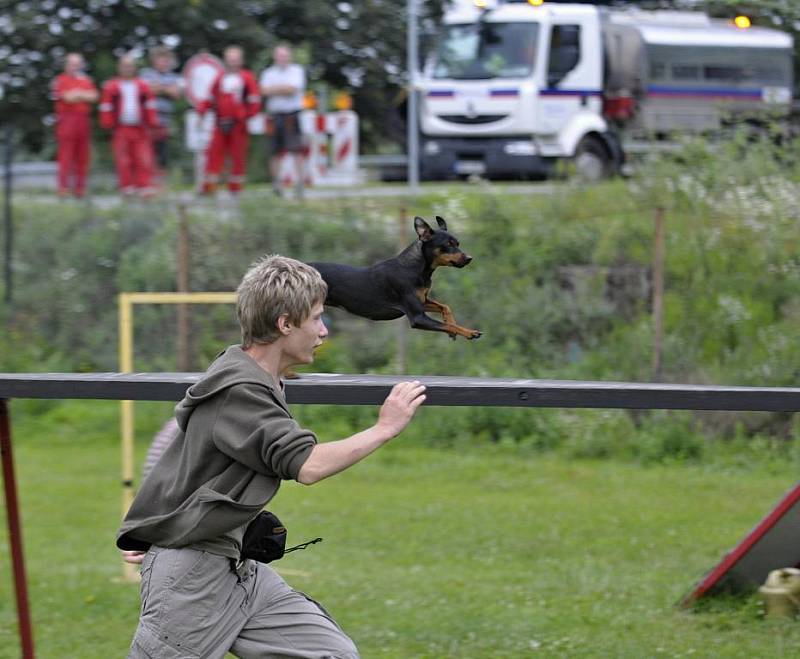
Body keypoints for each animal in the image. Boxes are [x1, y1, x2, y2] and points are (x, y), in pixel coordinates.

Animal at [308, 217, 482, 340]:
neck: (415, 269)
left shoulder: (423, 302)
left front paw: (451, 327)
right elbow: (450, 325)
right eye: (448, 244)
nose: (469, 258)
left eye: (458, 243)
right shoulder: (418, 317)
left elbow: (445, 307)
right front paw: (469, 332)